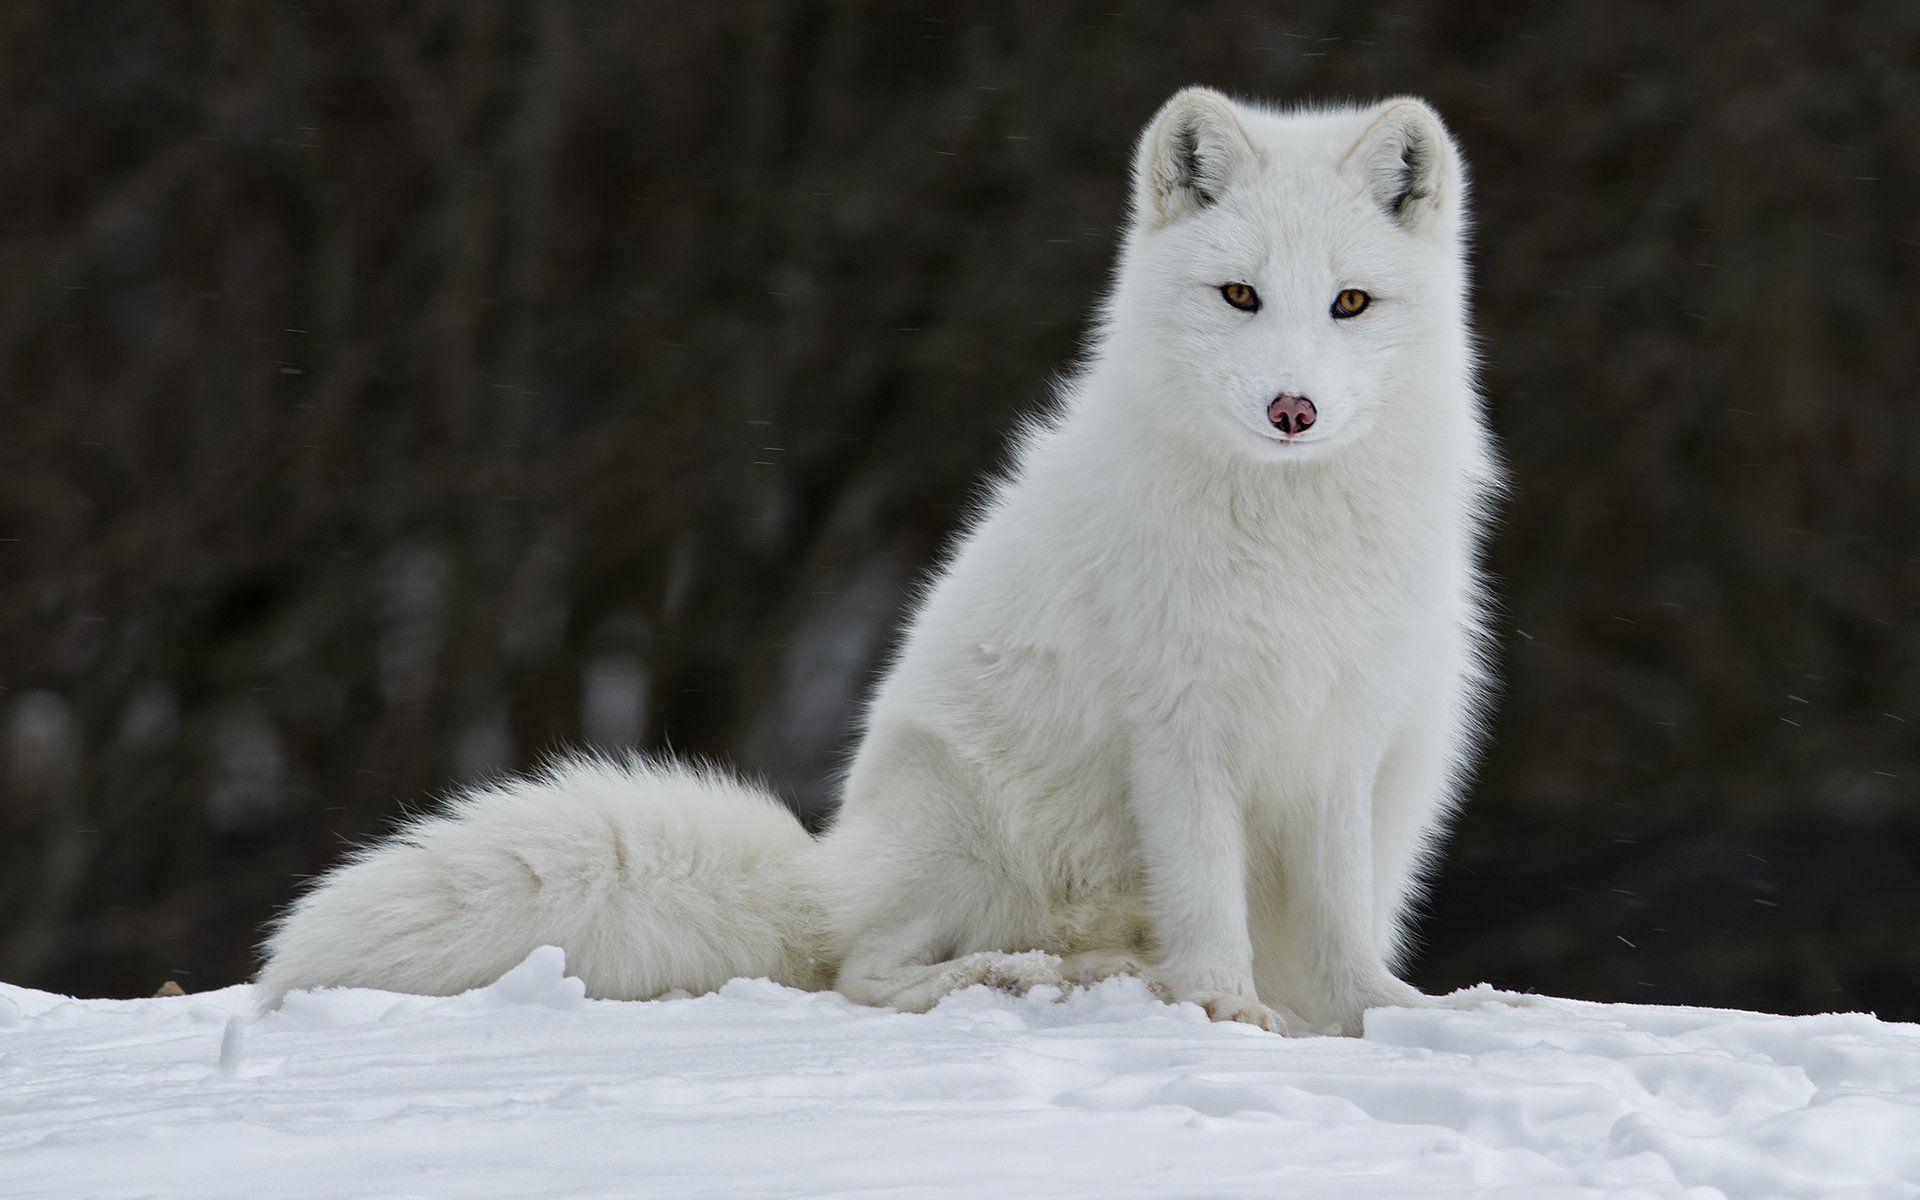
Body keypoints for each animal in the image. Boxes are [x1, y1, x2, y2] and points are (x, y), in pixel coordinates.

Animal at [257, 87, 1500, 1036]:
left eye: (1350, 302)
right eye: (1240, 295)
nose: (1293, 409)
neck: (1290, 534)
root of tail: (827, 865)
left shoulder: (1341, 736)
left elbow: (1339, 927)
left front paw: (1385, 1014)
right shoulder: (1182, 735)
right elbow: (1207, 902)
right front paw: (1228, 1011)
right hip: (960, 814)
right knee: (864, 971)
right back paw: (1030, 976)